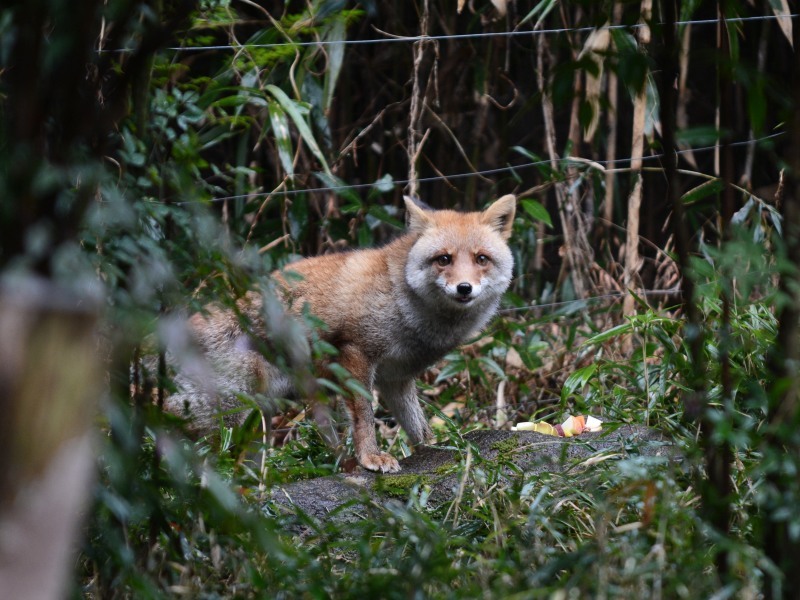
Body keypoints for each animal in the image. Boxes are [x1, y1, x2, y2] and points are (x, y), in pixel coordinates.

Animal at [167, 197, 520, 474]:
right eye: (444, 259)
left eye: (481, 259)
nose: (464, 288)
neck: (402, 301)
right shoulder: (356, 353)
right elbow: (364, 417)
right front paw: (371, 458)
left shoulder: (396, 378)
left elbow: (417, 427)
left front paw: (438, 450)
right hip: (239, 416)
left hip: (258, 423)